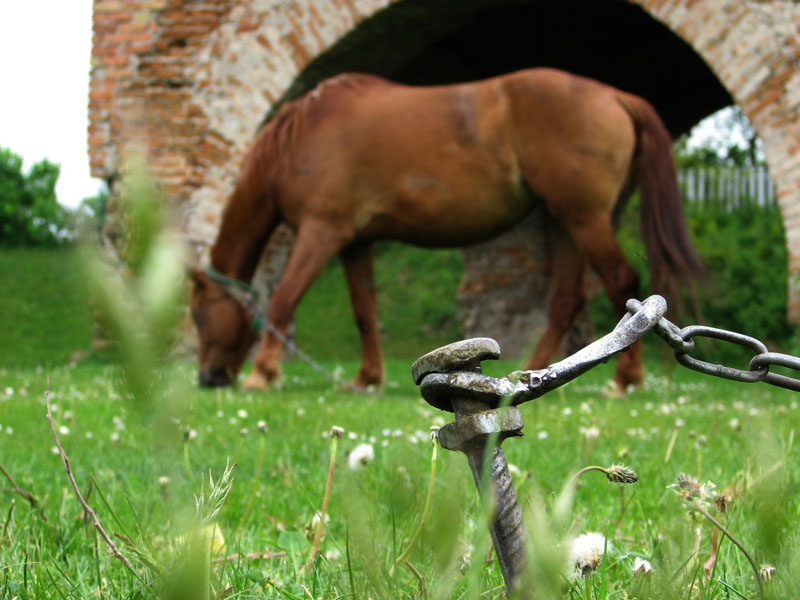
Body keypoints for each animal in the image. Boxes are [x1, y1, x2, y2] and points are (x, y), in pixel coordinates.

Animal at [191, 68, 704, 392]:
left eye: (197, 317)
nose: (208, 379)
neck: (301, 135)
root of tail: (616, 96)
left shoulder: (322, 232)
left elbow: (283, 298)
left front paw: (263, 374)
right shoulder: (356, 243)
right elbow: (364, 311)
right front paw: (367, 378)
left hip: (584, 218)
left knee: (621, 282)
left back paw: (624, 380)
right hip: (567, 222)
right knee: (566, 298)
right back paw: (535, 370)